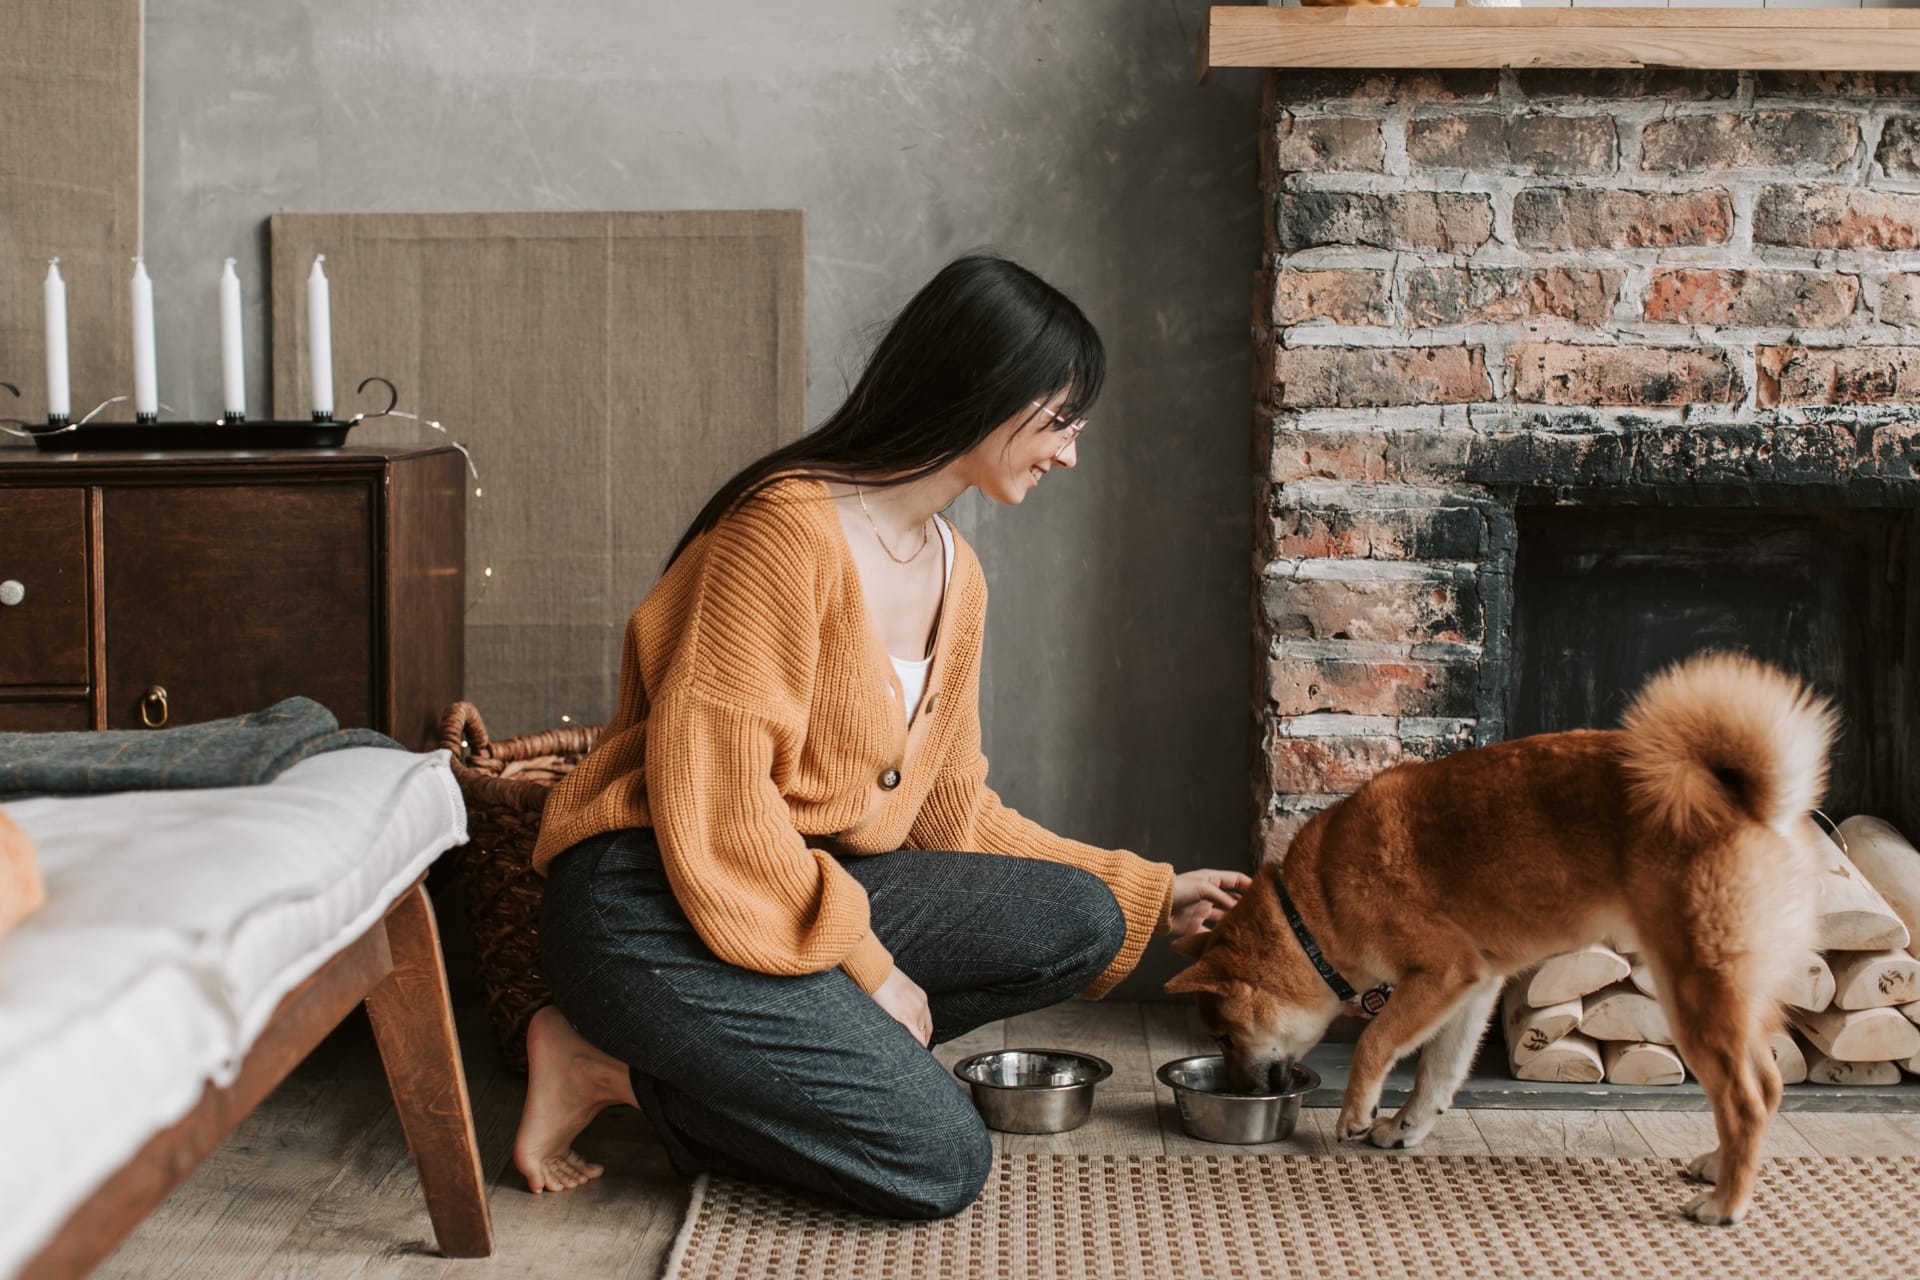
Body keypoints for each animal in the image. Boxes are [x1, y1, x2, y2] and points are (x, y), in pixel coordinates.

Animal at [1167, 656, 1827, 1228]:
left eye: (1225, 1037)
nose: (1235, 1088)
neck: (1315, 907)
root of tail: (1742, 799)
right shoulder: (1473, 987)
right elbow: (1438, 1073)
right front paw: (1405, 1128)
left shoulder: (1443, 973)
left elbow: (1376, 1042)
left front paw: (1358, 1112)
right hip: (1735, 997)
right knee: (1768, 1087)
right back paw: (1718, 1167)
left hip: (1692, 992)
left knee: (1744, 1099)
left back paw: (1725, 1204)